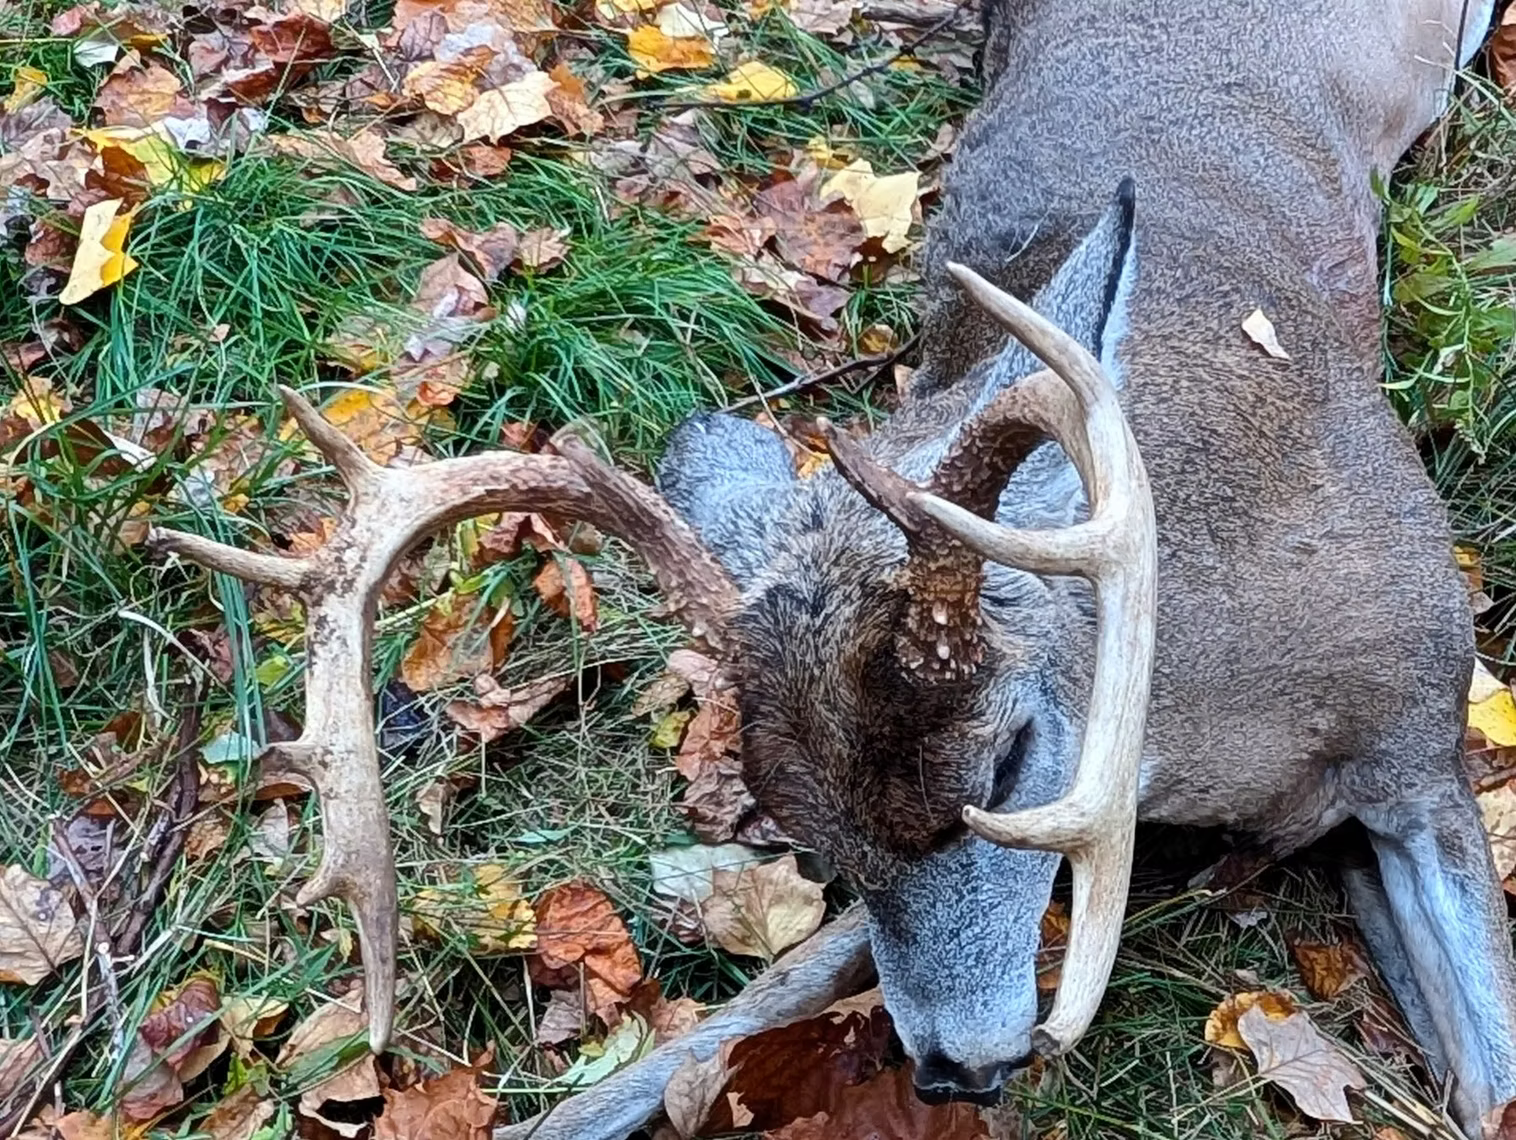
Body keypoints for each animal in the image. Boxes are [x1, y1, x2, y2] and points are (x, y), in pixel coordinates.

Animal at [148, 0, 1516, 1135]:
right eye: (811, 840)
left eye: (1009, 760)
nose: (956, 1068)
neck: (1219, 703)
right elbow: (745, 1012)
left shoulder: (1424, 740)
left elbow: (1492, 1069)